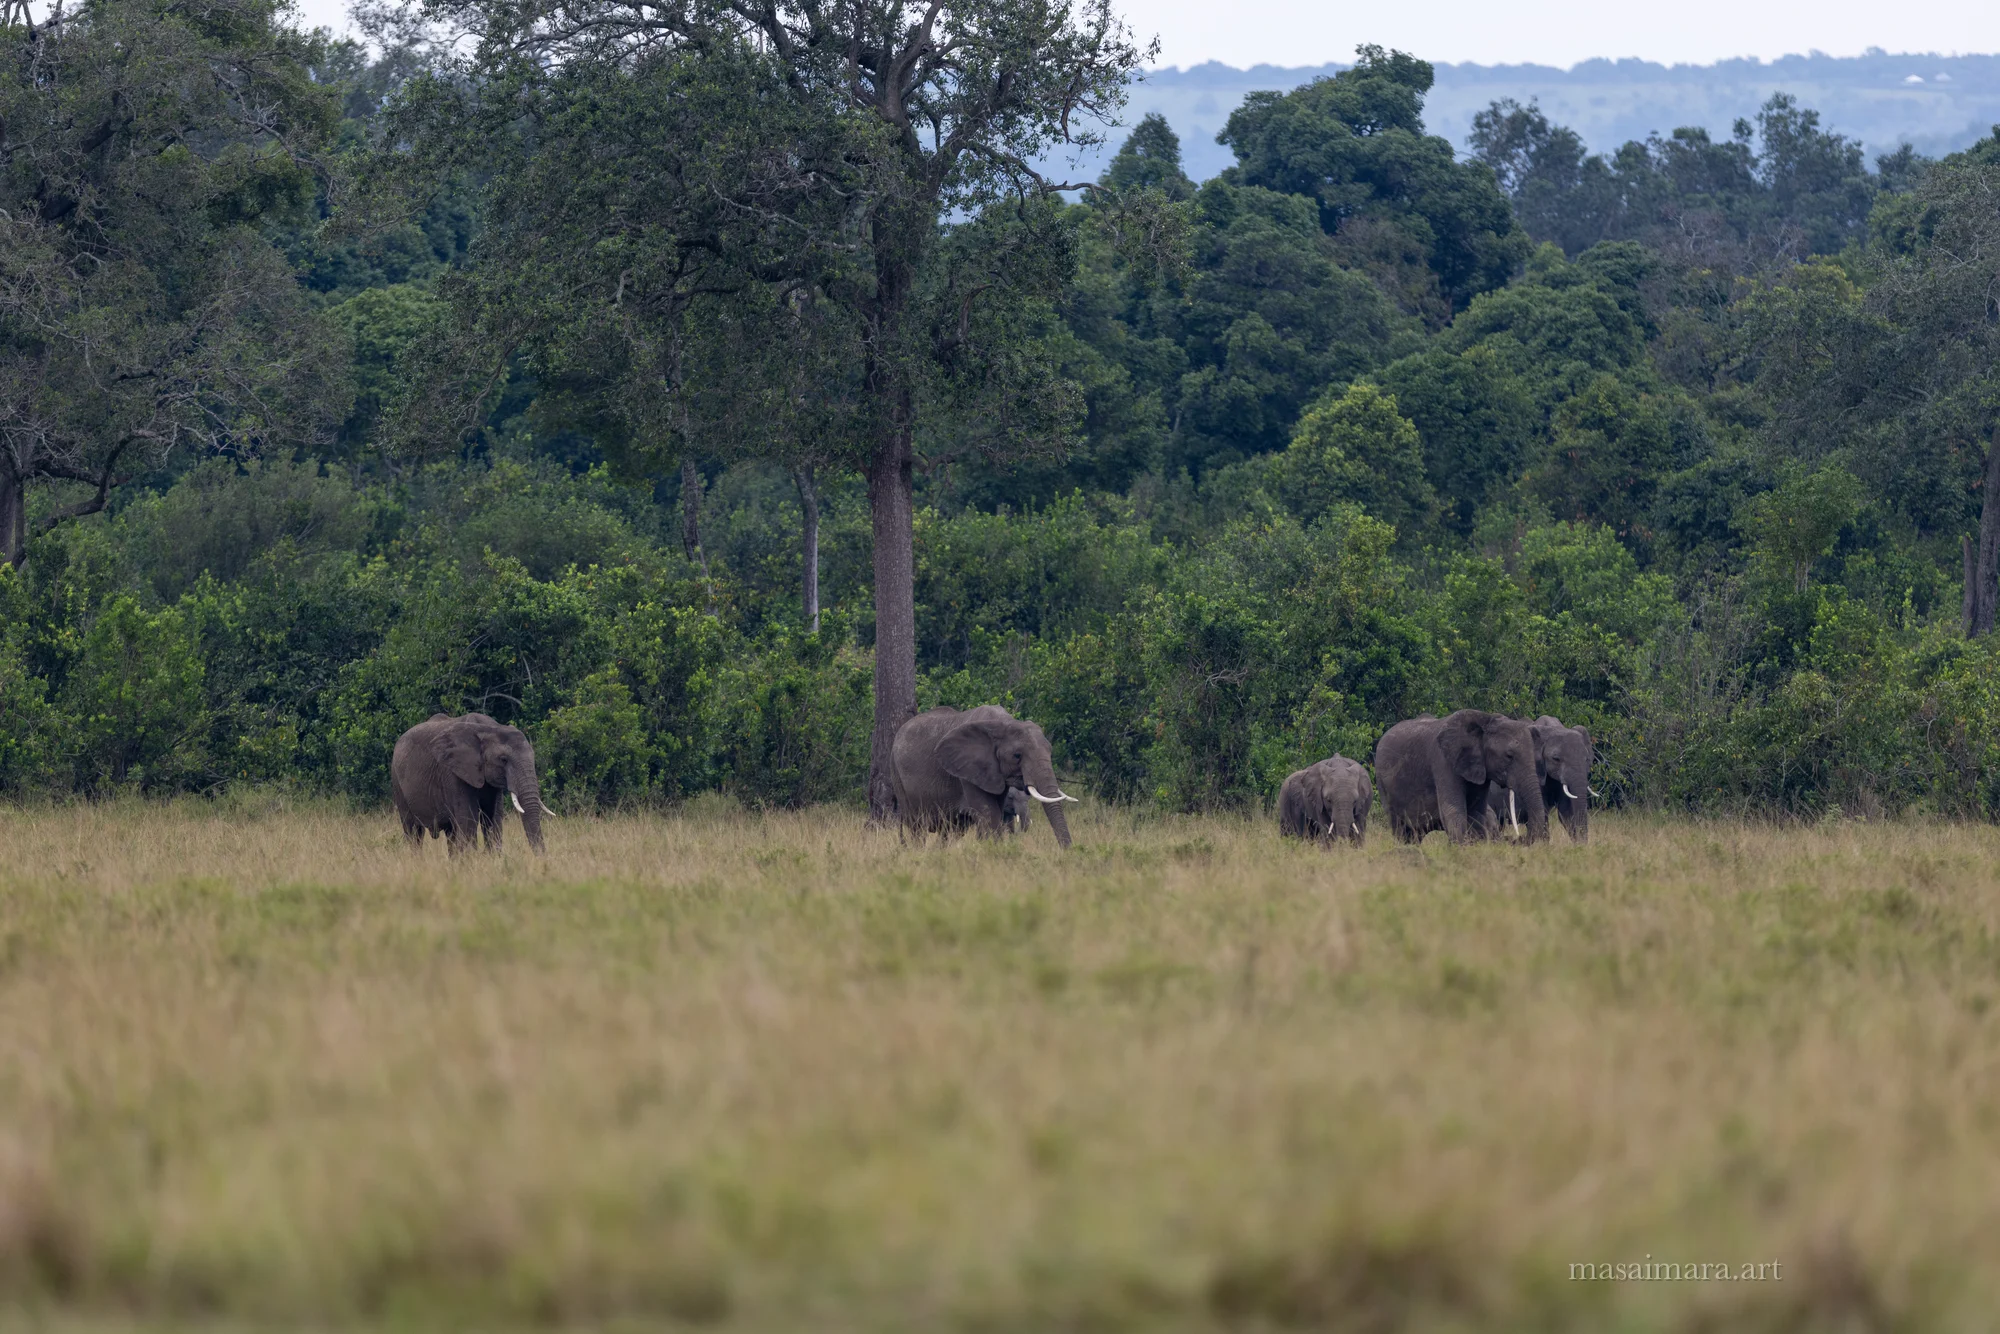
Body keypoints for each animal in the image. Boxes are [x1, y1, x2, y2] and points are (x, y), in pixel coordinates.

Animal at [391, 712, 552, 854]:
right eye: (503, 759)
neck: (489, 728)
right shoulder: (454, 773)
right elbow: (468, 819)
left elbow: (493, 817)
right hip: (397, 781)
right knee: (413, 832)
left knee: (450, 833)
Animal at [889, 704, 1076, 847]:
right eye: (1017, 756)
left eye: (1050, 751)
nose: (1067, 851)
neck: (1004, 723)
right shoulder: (968, 771)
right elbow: (988, 813)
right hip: (898, 776)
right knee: (917, 827)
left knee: (950, 830)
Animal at [1373, 709, 1548, 845]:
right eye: (1509, 756)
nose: (1519, 839)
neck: (1486, 720)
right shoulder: (1442, 762)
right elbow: (1453, 810)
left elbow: (1476, 814)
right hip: (1384, 786)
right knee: (1401, 829)